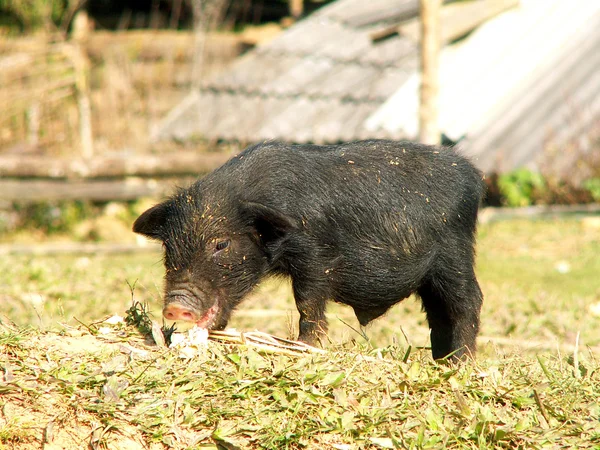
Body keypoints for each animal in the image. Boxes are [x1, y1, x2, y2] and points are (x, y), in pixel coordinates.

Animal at [134, 139, 486, 360]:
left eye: (221, 244)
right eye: (169, 245)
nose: (175, 305)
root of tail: (472, 174)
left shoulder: (315, 256)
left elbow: (308, 301)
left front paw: (304, 346)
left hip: (454, 254)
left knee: (468, 302)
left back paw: (462, 364)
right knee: (438, 314)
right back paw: (440, 361)